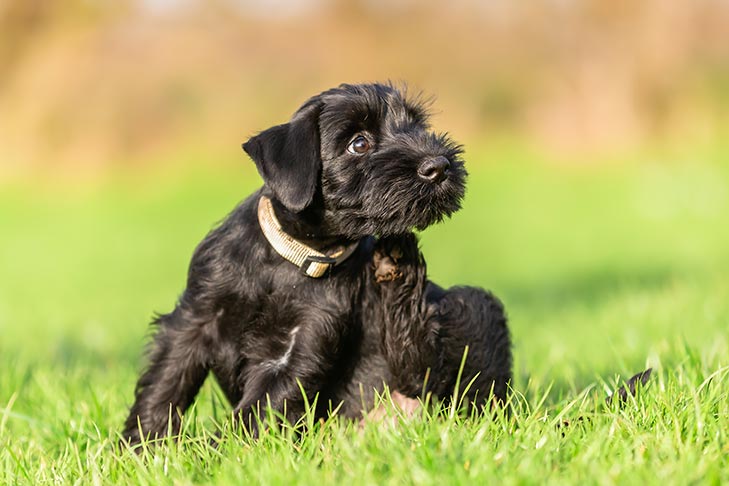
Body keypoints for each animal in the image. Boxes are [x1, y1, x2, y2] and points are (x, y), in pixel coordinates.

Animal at [122, 83, 512, 444]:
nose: (440, 166)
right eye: (359, 143)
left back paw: (401, 264)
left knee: (432, 375)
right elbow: (166, 383)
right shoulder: (194, 319)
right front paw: (141, 447)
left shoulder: (306, 339)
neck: (290, 260)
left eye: (417, 126)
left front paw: (218, 452)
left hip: (472, 304)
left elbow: (261, 405)